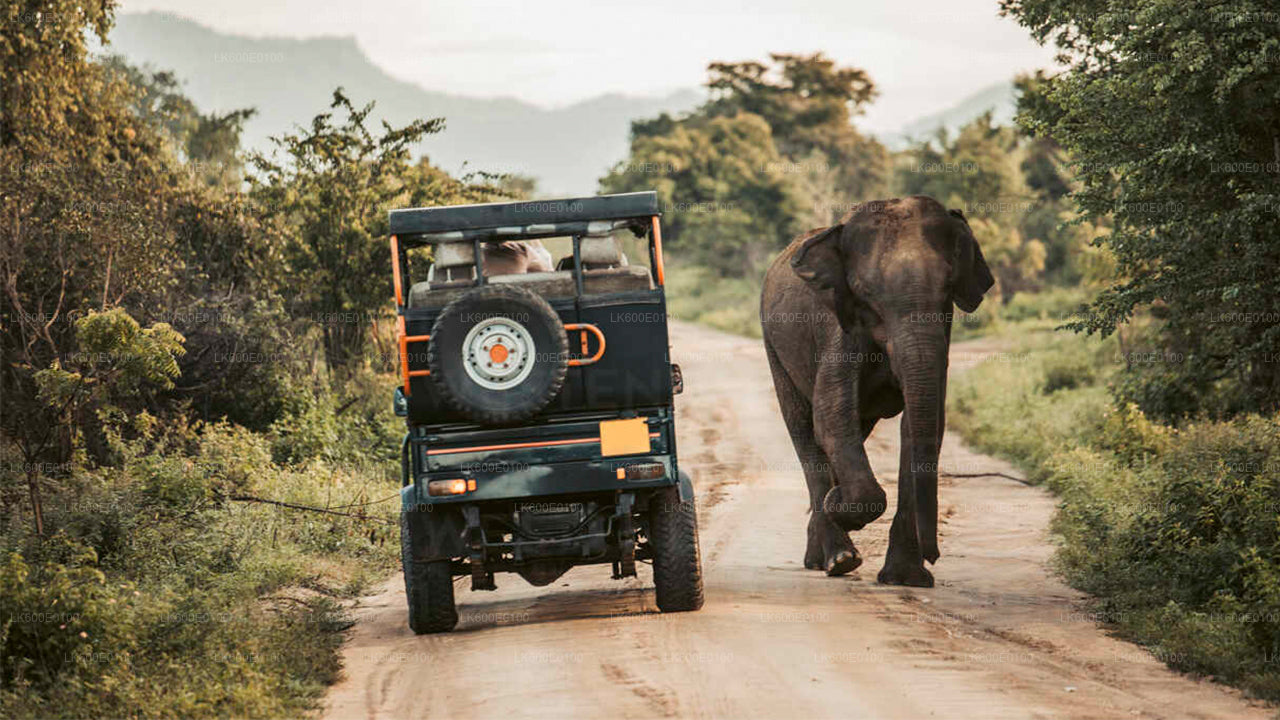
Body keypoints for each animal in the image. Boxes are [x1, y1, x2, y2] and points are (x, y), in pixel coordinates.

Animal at [757, 194, 988, 584]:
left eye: (948, 288)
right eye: (866, 294)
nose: (935, 556)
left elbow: (922, 424)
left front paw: (905, 579)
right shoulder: (838, 326)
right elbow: (830, 415)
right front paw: (837, 504)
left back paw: (823, 553)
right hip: (774, 347)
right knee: (805, 430)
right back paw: (839, 558)